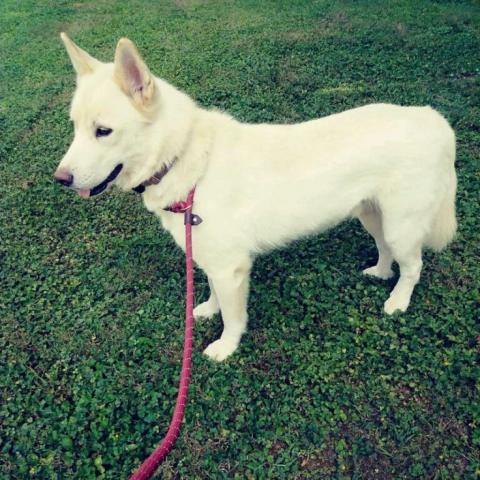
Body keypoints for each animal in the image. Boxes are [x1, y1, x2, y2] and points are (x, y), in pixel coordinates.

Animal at [54, 34, 456, 360]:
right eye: (75, 127)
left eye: (103, 131)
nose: (60, 179)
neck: (185, 158)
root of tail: (433, 118)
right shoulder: (212, 261)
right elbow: (214, 295)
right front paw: (208, 310)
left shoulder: (231, 269)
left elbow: (234, 318)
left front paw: (225, 347)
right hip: (373, 216)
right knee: (386, 250)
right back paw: (380, 273)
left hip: (401, 227)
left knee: (413, 267)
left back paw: (398, 301)